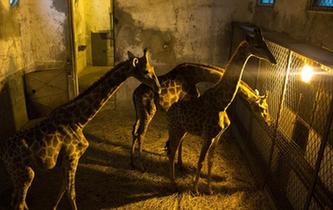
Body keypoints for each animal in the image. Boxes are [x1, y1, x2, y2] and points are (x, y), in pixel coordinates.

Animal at [0, 48, 161, 210]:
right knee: (20, 203)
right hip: (24, 173)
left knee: (16, 200)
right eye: (146, 71)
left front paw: (53, 207)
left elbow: (63, 187)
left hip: (17, 174)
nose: (158, 89)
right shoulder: (73, 156)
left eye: (153, 68)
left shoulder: (66, 159)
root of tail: (3, 153)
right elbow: (71, 193)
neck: (79, 121)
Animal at [129, 62, 270, 169]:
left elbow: (181, 138)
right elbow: (182, 138)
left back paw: (133, 163)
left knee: (134, 131)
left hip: (139, 112)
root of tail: (135, 94)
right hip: (149, 111)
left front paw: (174, 157)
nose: (269, 122)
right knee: (141, 133)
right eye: (263, 108)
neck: (196, 76)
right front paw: (179, 163)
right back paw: (141, 165)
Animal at [165, 28, 276, 195]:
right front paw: (195, 190)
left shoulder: (217, 136)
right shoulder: (208, 136)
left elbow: (210, 160)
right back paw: (173, 185)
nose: (273, 60)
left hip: (183, 130)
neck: (221, 103)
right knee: (171, 152)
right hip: (175, 129)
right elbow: (200, 161)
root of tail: (168, 111)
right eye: (257, 45)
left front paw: (210, 189)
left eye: (266, 44)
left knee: (174, 148)